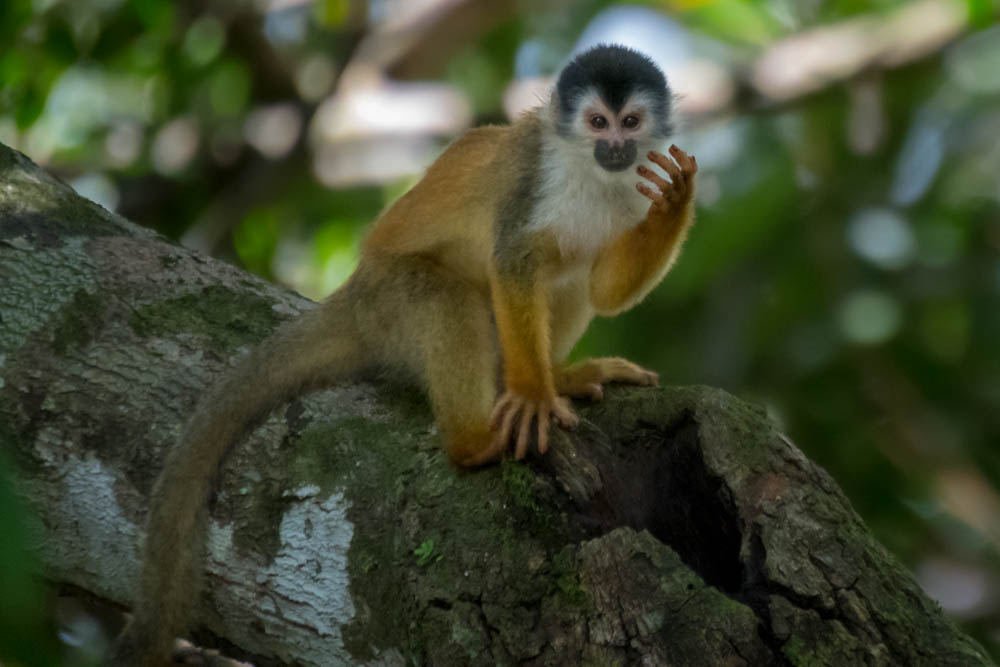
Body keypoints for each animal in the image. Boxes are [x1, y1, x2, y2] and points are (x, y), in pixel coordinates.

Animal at [108, 44, 698, 665]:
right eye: (597, 123)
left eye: (630, 122)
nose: (617, 148)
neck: (590, 171)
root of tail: (356, 291)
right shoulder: (531, 176)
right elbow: (512, 262)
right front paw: (533, 396)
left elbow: (604, 290)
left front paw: (674, 202)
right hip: (389, 302)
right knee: (450, 301)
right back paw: (474, 440)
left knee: (570, 273)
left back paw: (556, 375)